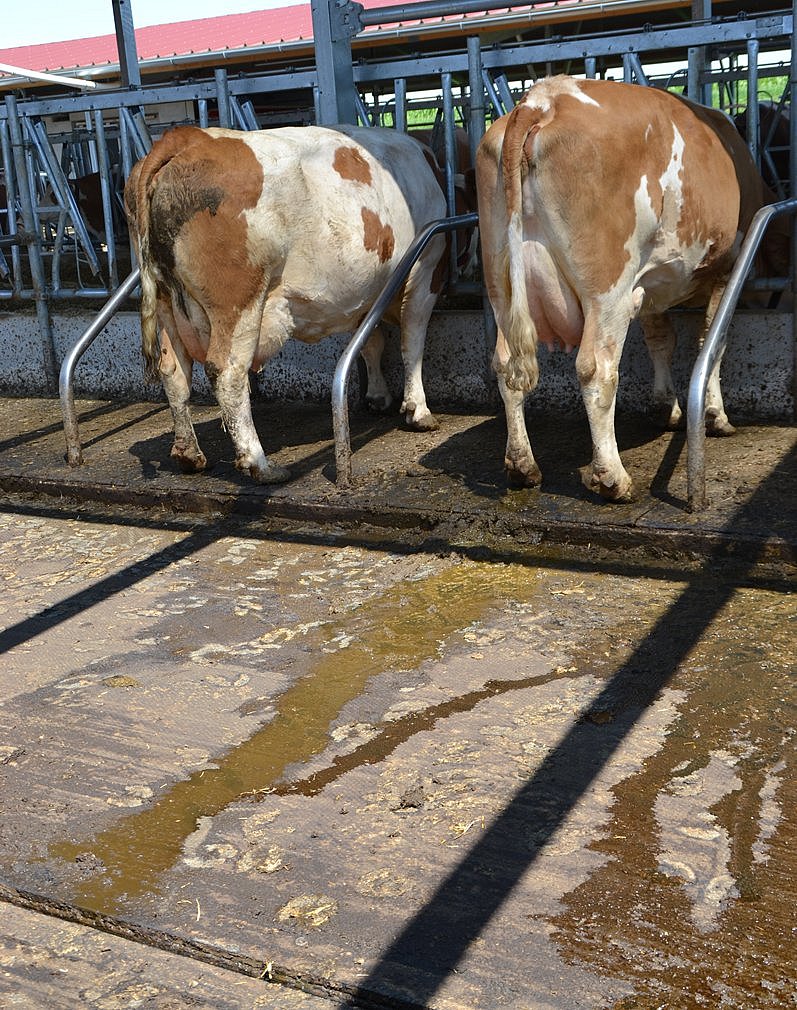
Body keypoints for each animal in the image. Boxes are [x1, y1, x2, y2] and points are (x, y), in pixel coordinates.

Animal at [125, 122, 448, 484]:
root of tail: (187, 137)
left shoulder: (368, 294)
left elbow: (371, 343)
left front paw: (378, 396)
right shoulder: (426, 272)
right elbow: (412, 342)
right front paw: (418, 411)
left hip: (168, 305)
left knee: (174, 372)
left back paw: (189, 454)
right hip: (239, 304)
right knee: (228, 373)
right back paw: (260, 464)